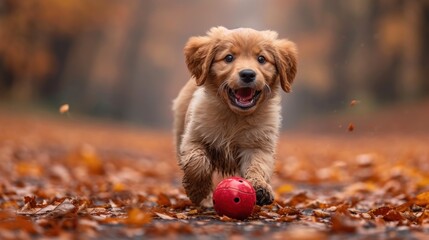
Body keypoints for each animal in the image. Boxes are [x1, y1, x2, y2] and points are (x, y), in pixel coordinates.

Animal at [172, 26, 296, 206]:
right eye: (229, 57)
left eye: (261, 59)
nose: (248, 74)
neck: (235, 116)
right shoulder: (193, 138)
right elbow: (198, 163)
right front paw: (198, 191)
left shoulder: (259, 145)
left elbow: (257, 166)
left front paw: (260, 187)